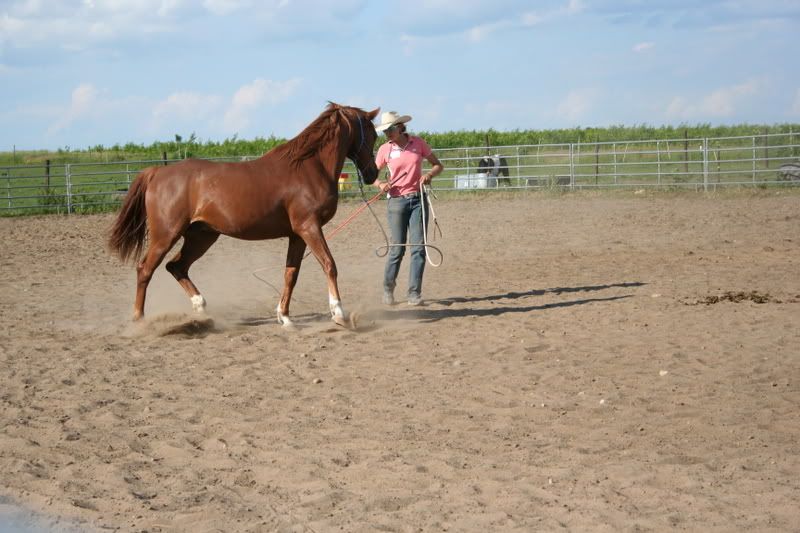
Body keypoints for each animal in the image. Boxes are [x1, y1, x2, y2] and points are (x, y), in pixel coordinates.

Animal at [108, 102, 380, 326]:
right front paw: (339, 313)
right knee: (145, 269)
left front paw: (284, 317)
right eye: (373, 134)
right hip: (166, 234)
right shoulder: (309, 227)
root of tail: (157, 172)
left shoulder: (297, 234)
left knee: (176, 266)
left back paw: (201, 307)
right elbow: (329, 265)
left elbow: (291, 274)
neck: (308, 167)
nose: (373, 174)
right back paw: (139, 319)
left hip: (201, 236)